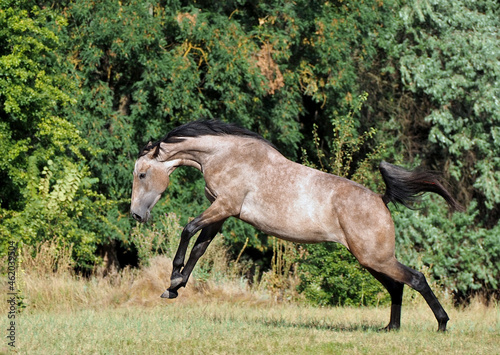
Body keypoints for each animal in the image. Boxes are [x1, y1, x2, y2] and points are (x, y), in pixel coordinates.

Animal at [130, 121, 460, 332]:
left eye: (142, 174)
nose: (136, 215)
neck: (226, 156)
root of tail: (381, 199)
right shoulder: (221, 212)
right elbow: (199, 248)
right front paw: (174, 288)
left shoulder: (225, 206)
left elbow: (187, 230)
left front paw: (173, 278)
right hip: (370, 260)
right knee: (396, 286)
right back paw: (390, 328)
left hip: (375, 258)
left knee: (416, 279)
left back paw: (442, 325)